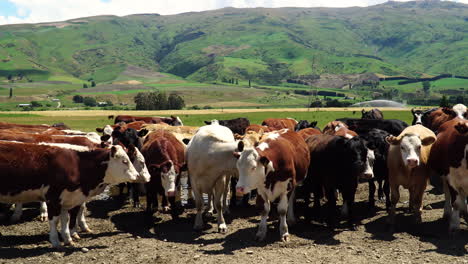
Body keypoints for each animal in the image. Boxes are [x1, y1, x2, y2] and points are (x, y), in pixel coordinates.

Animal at [0, 142, 141, 248]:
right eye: (124, 161)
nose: (137, 176)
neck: (77, 164)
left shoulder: (67, 199)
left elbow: (66, 219)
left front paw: (68, 239)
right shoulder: (54, 198)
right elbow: (55, 220)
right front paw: (56, 241)